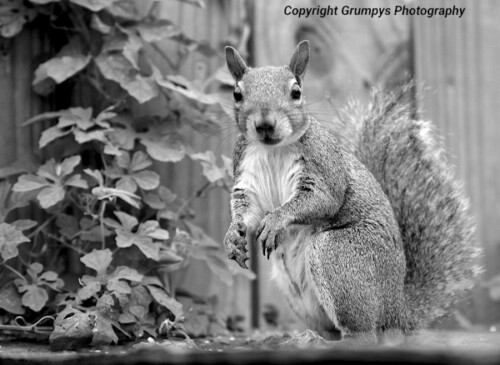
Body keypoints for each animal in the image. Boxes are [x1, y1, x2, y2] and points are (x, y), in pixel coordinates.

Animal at [222, 41, 480, 342]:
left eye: (296, 92)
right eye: (237, 93)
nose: (265, 124)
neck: (273, 150)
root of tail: (397, 310)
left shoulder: (324, 166)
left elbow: (323, 200)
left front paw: (276, 219)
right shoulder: (247, 176)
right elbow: (246, 209)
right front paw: (233, 235)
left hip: (338, 256)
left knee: (364, 335)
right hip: (295, 290)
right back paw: (305, 339)